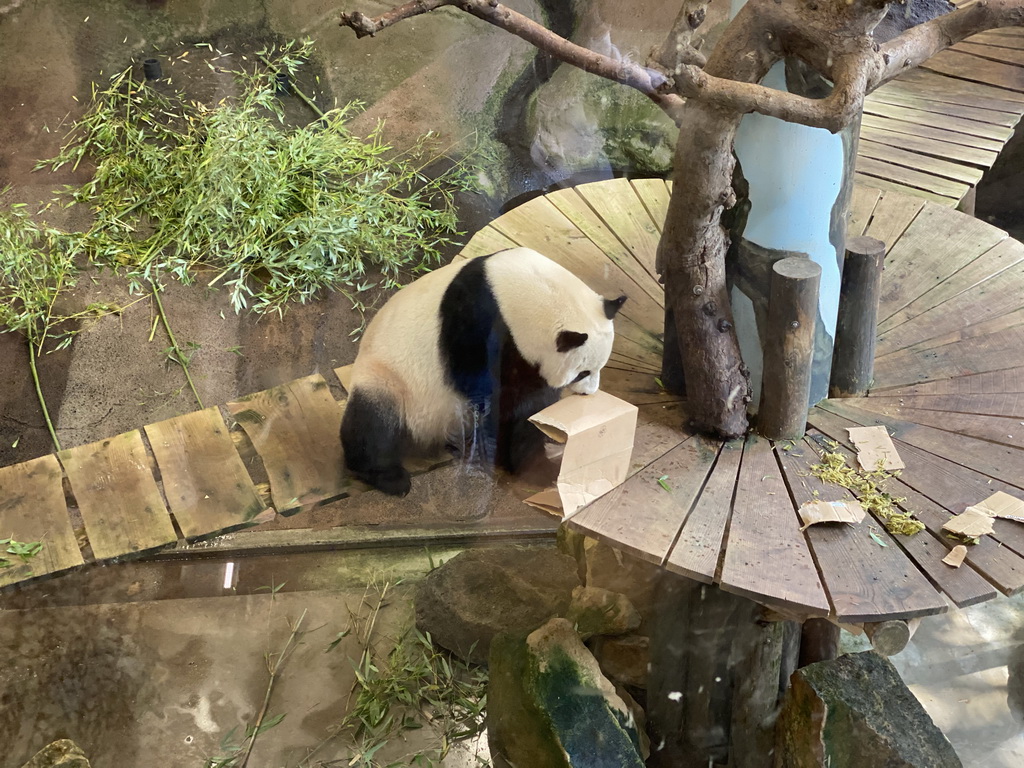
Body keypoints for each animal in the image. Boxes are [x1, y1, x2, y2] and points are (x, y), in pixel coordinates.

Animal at [342, 247, 622, 499]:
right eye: (582, 373)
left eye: (600, 367)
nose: (589, 393)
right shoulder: (475, 321)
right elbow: (496, 395)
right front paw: (532, 465)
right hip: (390, 378)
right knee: (373, 425)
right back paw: (390, 478)